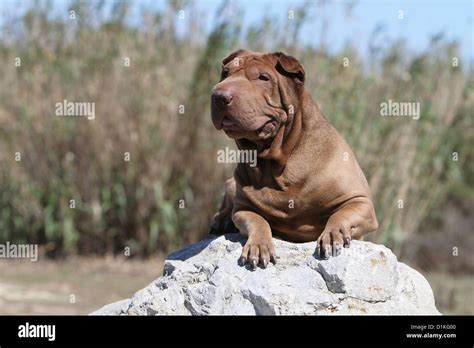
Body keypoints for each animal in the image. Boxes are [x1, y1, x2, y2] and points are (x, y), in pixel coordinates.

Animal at [209, 49, 380, 270]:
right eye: (225, 73)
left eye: (263, 78)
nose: (219, 96)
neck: (278, 163)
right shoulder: (243, 209)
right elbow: (258, 221)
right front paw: (259, 245)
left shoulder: (360, 201)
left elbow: (340, 214)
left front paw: (333, 234)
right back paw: (221, 221)